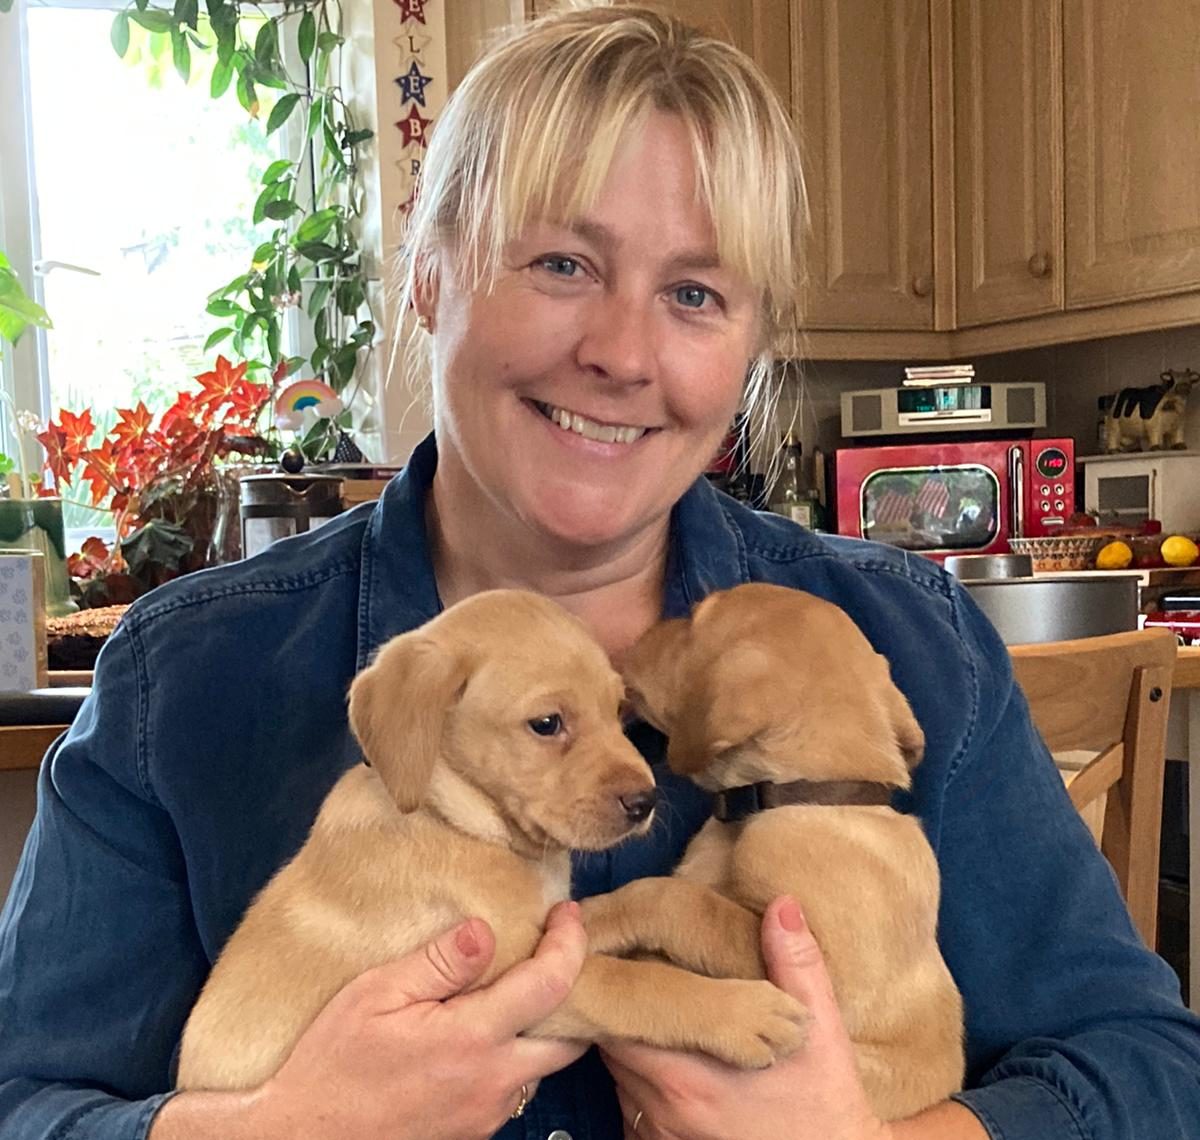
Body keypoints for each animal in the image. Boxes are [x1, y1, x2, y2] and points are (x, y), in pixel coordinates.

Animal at [175, 588, 806, 1089]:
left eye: (617, 708)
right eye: (547, 724)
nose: (645, 803)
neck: (457, 822)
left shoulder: (549, 923)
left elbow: (628, 906)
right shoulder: (505, 981)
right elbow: (628, 982)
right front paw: (740, 1012)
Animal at [585, 585, 969, 1118]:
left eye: (693, 621)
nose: (645, 630)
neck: (805, 794)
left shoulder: (824, 973)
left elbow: (677, 900)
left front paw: (592, 919)